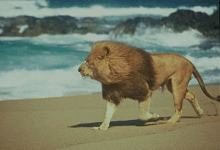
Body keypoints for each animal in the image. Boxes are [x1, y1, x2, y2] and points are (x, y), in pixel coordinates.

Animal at [78, 40, 219, 130]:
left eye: (88, 61)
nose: (78, 69)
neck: (113, 73)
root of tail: (188, 60)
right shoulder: (112, 94)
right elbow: (108, 113)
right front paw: (102, 127)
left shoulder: (144, 91)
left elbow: (142, 115)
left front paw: (154, 116)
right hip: (172, 86)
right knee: (191, 95)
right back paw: (200, 112)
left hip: (177, 86)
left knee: (179, 109)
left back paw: (167, 121)